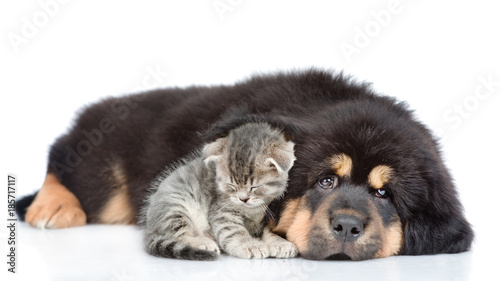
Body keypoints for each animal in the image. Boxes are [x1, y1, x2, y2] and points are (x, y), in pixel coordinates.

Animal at [141, 121, 296, 260]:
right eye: (231, 185)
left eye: (255, 187)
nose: (243, 199)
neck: (253, 210)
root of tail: (149, 228)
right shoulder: (222, 211)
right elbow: (234, 231)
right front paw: (250, 245)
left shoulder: (269, 215)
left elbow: (269, 231)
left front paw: (281, 243)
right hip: (174, 206)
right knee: (177, 235)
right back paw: (202, 242)